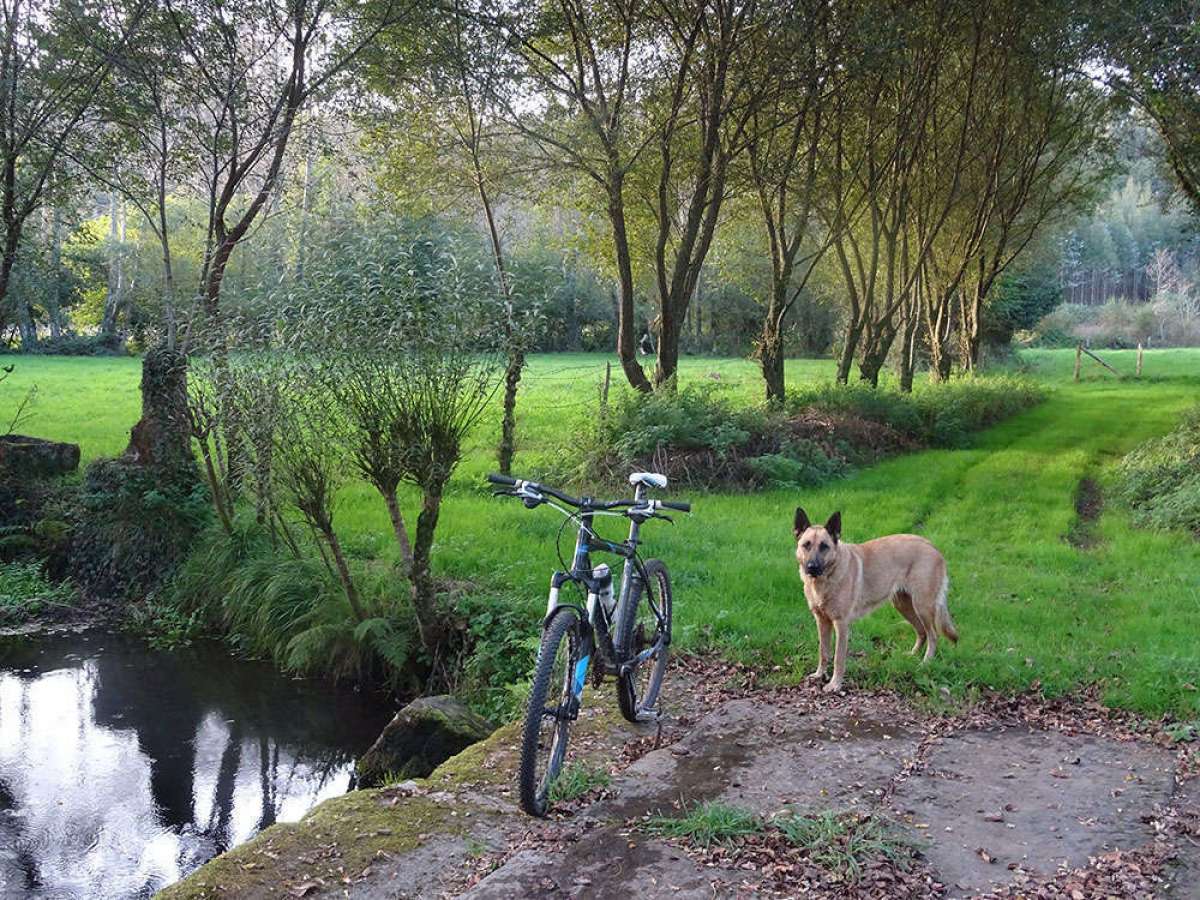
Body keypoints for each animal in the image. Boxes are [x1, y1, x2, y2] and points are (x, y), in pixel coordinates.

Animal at [796, 511, 955, 696]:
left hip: (922, 606)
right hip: (903, 605)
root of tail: (932, 546)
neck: (826, 579)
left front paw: (835, 684)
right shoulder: (821, 621)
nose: (811, 567)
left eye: (824, 546)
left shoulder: (841, 625)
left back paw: (925, 663)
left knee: (933, 635)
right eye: (806, 545)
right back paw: (912, 655)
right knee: (922, 632)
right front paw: (819, 674)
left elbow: (838, 658)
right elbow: (823, 652)